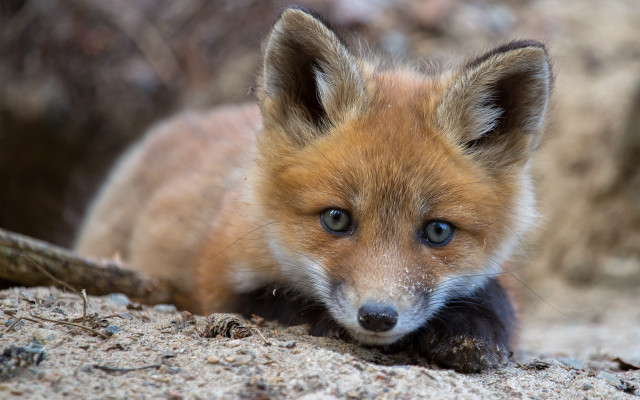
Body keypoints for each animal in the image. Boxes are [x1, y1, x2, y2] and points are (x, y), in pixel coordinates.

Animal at [75, 6, 552, 372]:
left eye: (438, 231)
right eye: (336, 219)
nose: (378, 317)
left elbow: (500, 303)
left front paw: (470, 332)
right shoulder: (217, 278)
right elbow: (287, 302)